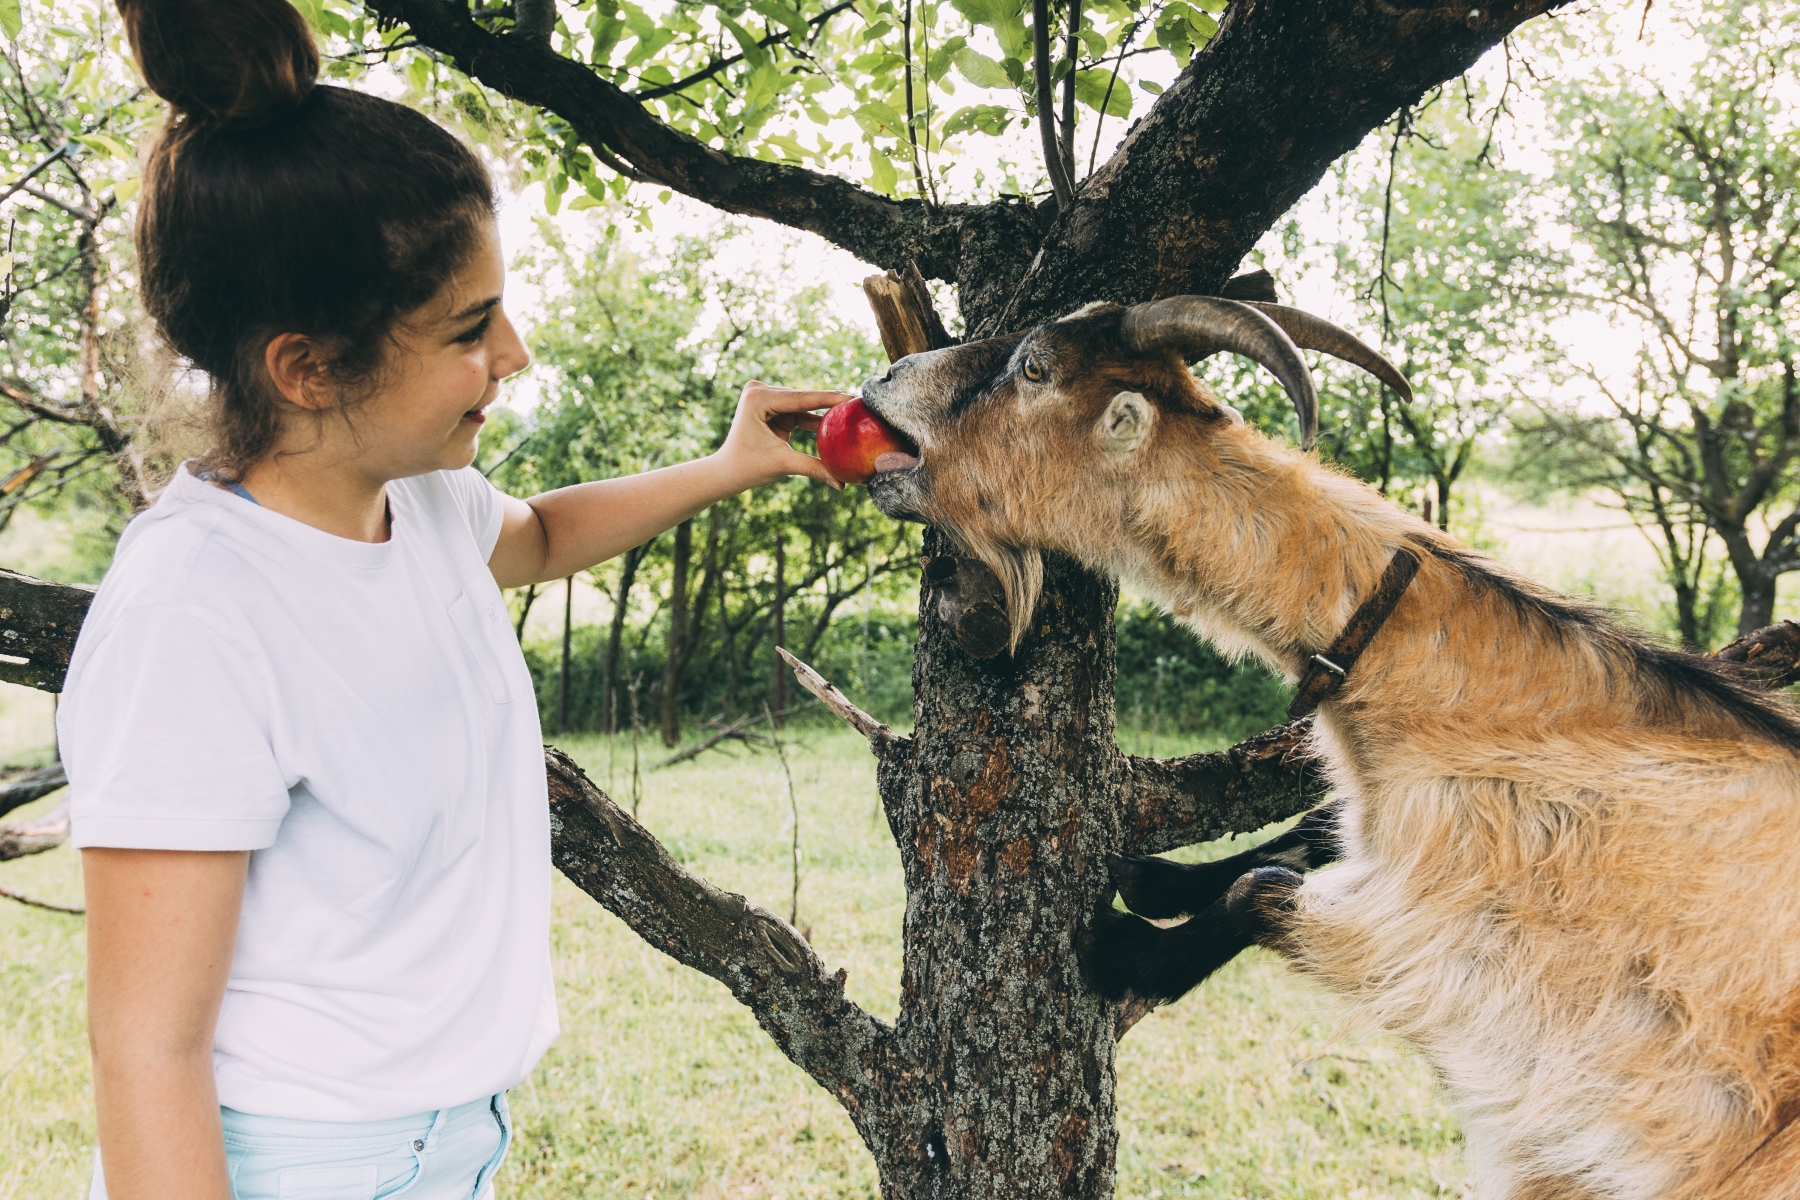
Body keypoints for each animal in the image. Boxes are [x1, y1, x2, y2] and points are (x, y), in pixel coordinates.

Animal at [856, 300, 1800, 1200]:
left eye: (1034, 367)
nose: (885, 377)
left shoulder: (1460, 955)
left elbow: (1264, 889)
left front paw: (1125, 945)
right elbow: (1312, 829)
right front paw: (1158, 879)